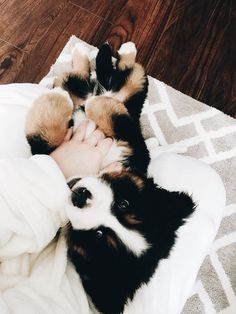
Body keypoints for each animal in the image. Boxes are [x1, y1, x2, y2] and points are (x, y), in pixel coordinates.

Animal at [25, 42, 195, 314]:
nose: (81, 195)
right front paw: (70, 103)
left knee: (111, 76)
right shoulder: (133, 144)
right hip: (129, 91)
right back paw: (98, 55)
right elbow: (114, 119)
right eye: (123, 204)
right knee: (110, 75)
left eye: (98, 236)